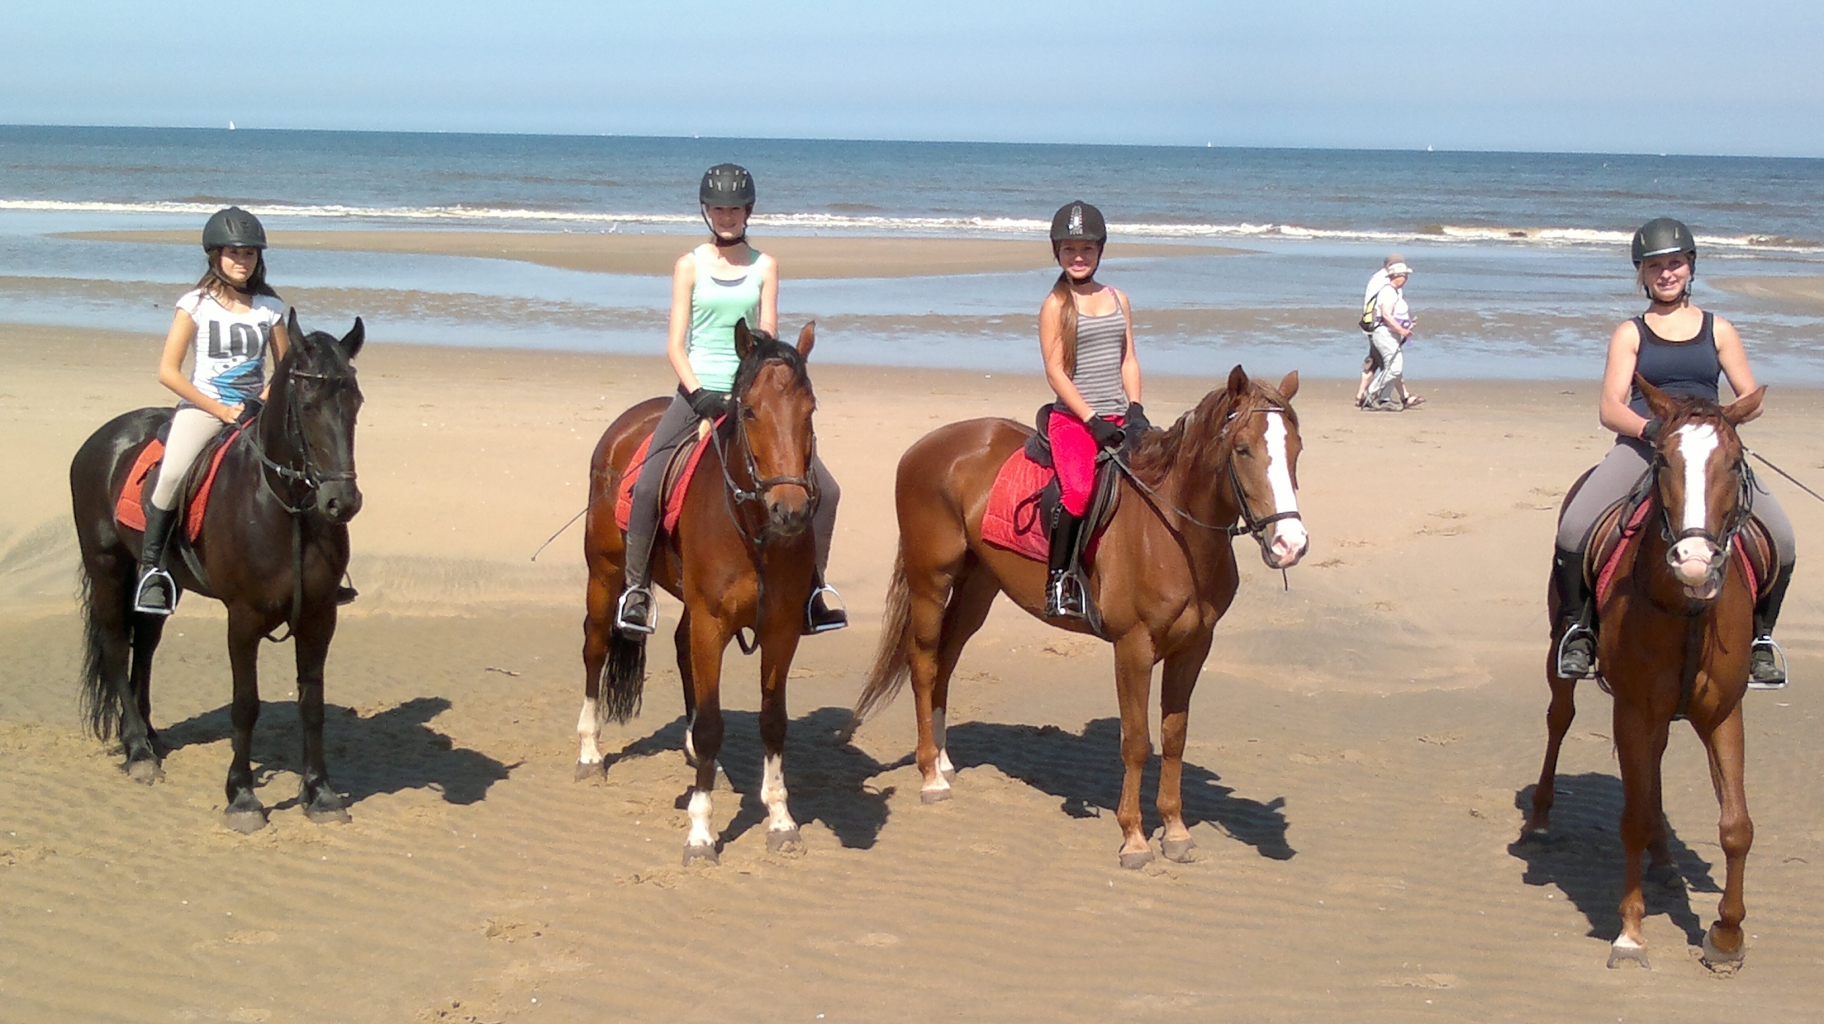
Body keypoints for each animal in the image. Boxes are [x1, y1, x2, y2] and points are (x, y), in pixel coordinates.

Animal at [71, 310, 362, 832]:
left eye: (356, 403)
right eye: (307, 406)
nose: (341, 502)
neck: (281, 506)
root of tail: (102, 439)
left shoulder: (319, 616)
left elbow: (312, 705)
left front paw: (321, 793)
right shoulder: (243, 618)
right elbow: (245, 705)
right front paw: (242, 797)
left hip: (155, 583)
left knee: (144, 646)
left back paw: (147, 735)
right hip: (105, 566)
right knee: (115, 648)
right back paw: (138, 752)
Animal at [580, 319, 824, 861]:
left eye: (810, 410)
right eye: (749, 409)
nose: (791, 510)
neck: (753, 529)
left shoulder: (780, 629)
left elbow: (773, 721)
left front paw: (780, 819)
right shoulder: (712, 624)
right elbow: (714, 725)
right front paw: (700, 830)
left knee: (677, 646)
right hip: (603, 575)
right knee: (595, 648)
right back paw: (589, 752)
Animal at [846, 365, 1305, 861]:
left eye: (1296, 449)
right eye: (1242, 449)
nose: (1290, 544)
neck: (1173, 531)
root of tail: (926, 446)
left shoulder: (1195, 647)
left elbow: (1174, 736)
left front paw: (1175, 830)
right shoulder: (1133, 647)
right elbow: (1136, 741)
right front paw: (1134, 837)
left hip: (978, 587)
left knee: (946, 660)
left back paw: (945, 760)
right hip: (931, 580)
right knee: (925, 664)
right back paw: (931, 775)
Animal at [1524, 376, 1765, 963]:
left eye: (1734, 462)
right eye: (1661, 460)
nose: (1695, 562)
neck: (1687, 608)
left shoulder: (1723, 713)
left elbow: (1736, 826)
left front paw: (1727, 935)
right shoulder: (1632, 710)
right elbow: (1630, 818)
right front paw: (1630, 933)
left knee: (1654, 765)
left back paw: (1665, 858)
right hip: (1560, 655)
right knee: (1558, 721)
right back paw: (1541, 820)